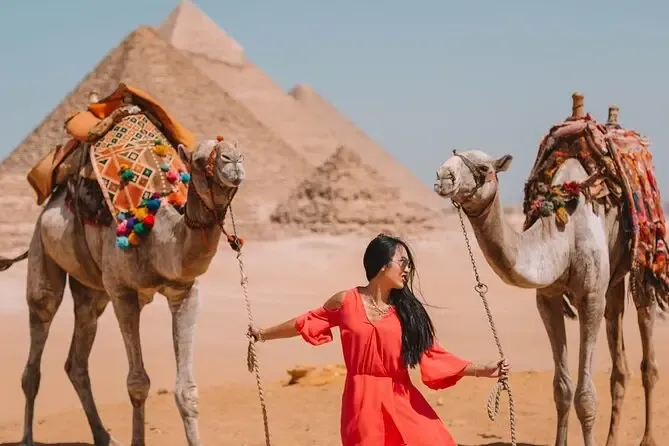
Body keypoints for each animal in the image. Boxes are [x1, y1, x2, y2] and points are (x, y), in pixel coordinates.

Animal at [0, 104, 246, 446]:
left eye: (236, 150)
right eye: (197, 160)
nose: (233, 159)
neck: (159, 234)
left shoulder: (185, 291)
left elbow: (187, 390)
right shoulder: (122, 293)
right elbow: (138, 382)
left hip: (92, 292)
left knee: (77, 360)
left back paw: (103, 435)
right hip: (42, 249)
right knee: (36, 341)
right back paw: (26, 438)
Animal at [432, 93, 665, 446]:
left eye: (483, 167)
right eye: (451, 157)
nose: (442, 176)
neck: (561, 230)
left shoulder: (590, 298)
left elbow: (585, 396)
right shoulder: (548, 300)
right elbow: (562, 388)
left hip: (646, 260)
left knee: (647, 353)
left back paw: (647, 438)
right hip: (613, 280)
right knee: (619, 362)